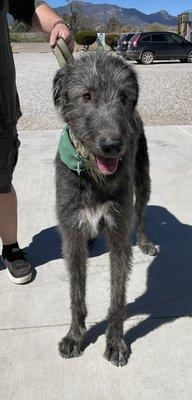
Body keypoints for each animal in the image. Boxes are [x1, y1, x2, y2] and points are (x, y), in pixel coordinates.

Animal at [53, 51, 157, 368]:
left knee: (140, 213)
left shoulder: (119, 234)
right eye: (86, 95)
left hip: (143, 179)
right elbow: (76, 293)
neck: (93, 177)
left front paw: (115, 342)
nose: (112, 145)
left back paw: (146, 241)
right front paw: (75, 336)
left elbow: (117, 297)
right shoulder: (71, 233)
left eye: (123, 96)